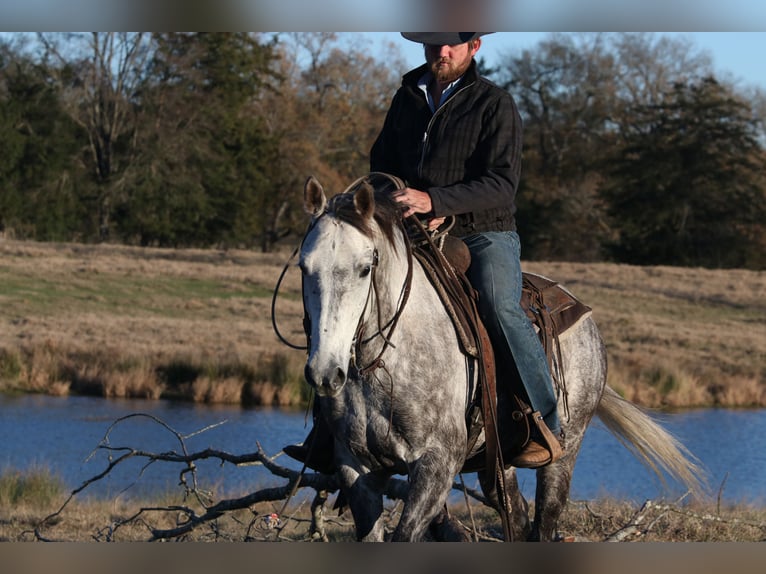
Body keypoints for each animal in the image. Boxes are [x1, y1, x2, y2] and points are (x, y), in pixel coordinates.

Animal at [296, 176, 704, 544]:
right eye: (304, 267)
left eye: (365, 268)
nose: (325, 373)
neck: (386, 364)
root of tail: (582, 314)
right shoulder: (356, 469)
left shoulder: (436, 465)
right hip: (497, 461)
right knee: (517, 518)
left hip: (565, 450)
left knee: (545, 522)